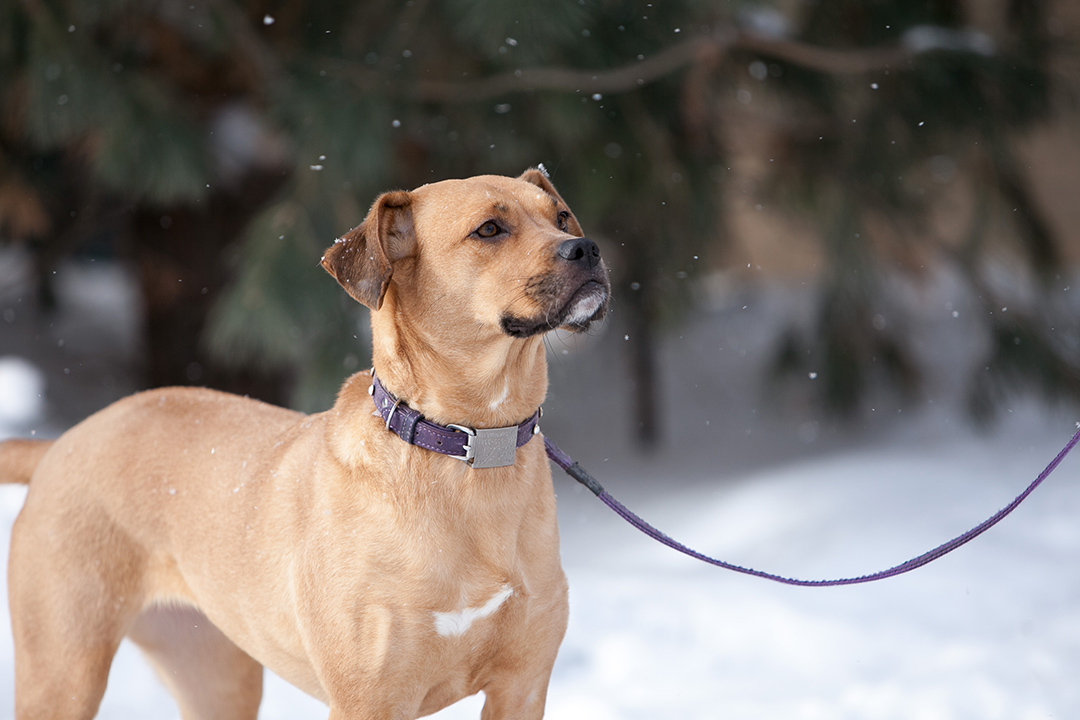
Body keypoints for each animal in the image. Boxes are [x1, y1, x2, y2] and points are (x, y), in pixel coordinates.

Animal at [0, 170, 609, 720]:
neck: (470, 447)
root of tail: (63, 442)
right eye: (488, 229)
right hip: (64, 669)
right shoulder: (369, 699)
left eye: (561, 218)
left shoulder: (522, 686)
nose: (588, 248)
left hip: (214, 672)